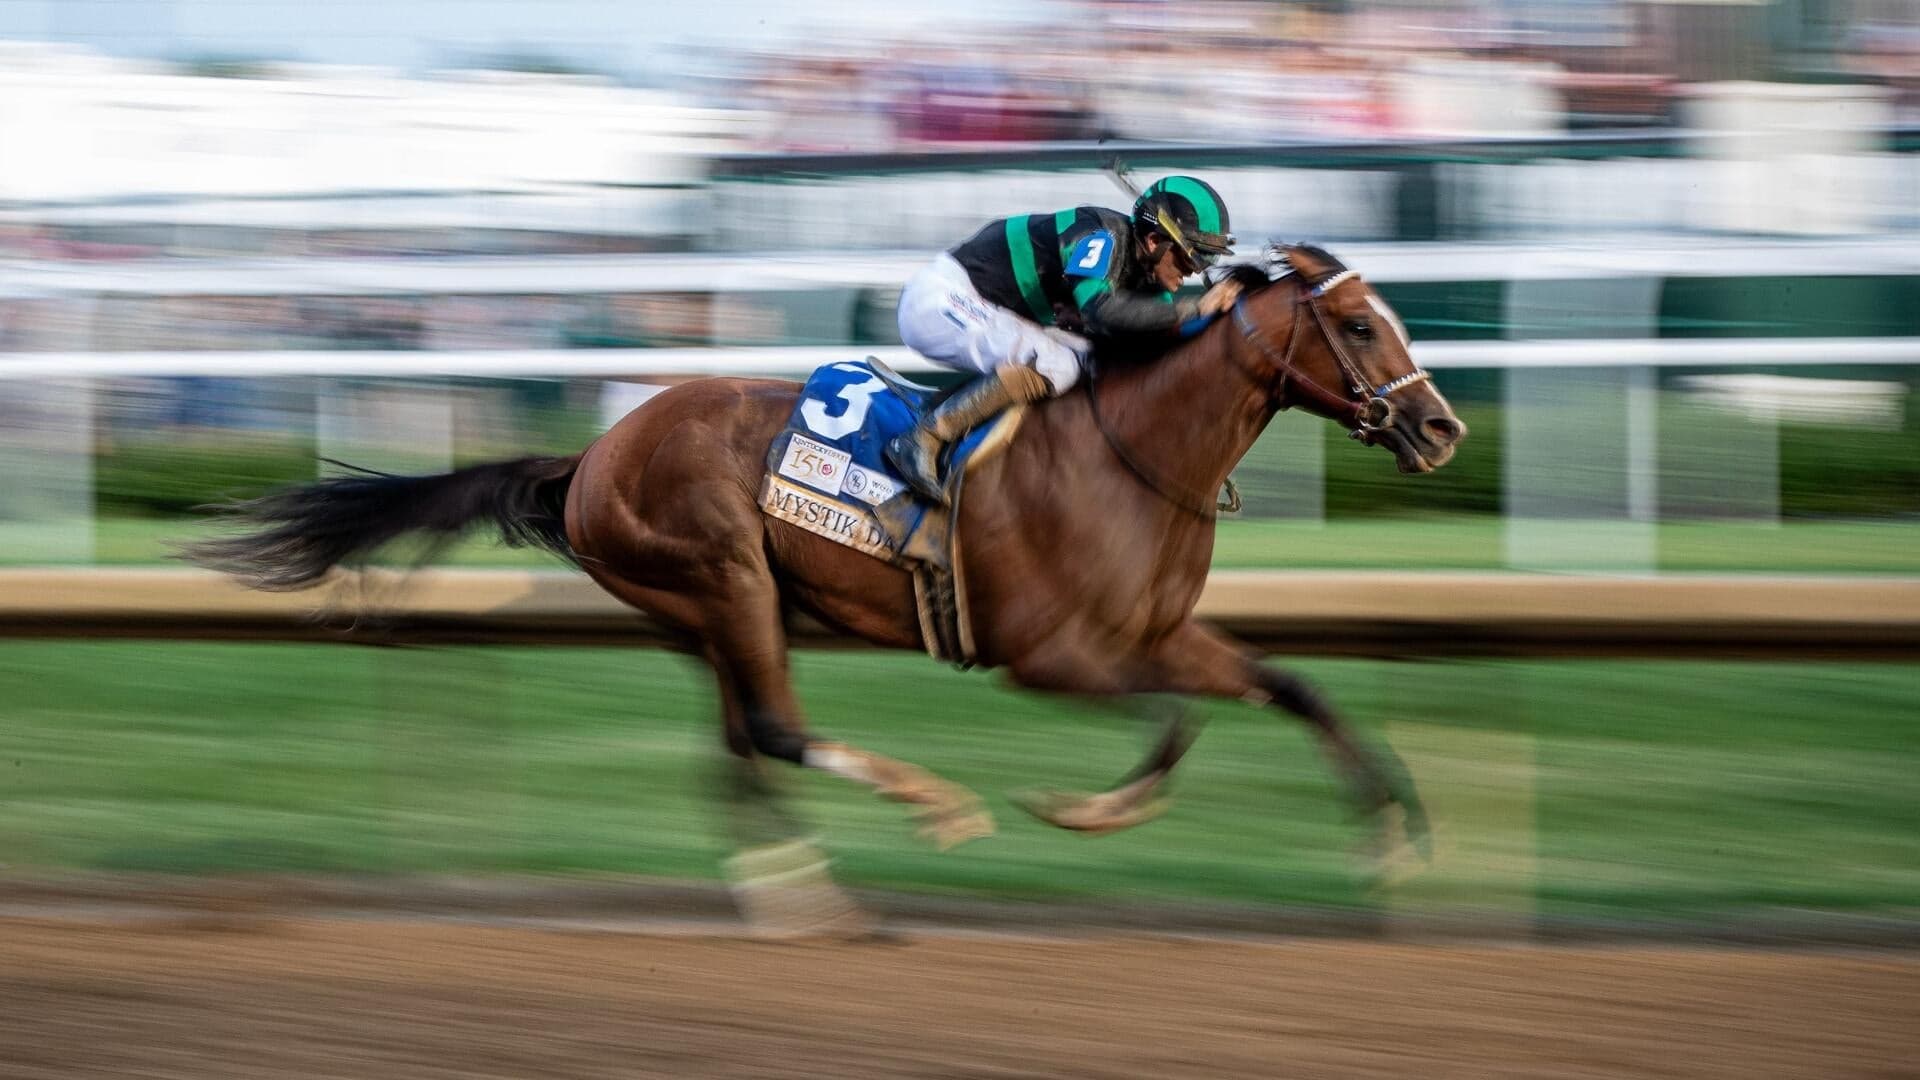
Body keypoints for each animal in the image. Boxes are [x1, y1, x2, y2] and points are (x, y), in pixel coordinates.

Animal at [189, 243, 1466, 907]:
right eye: (1360, 326)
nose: (1443, 429)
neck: (1132, 451)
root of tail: (591, 453)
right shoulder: (1049, 656)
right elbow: (1171, 727)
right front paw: (1090, 809)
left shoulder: (1158, 636)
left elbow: (1292, 687)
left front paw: (1395, 832)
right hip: (722, 576)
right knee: (775, 729)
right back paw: (924, 812)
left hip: (706, 611)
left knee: (737, 745)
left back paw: (800, 896)